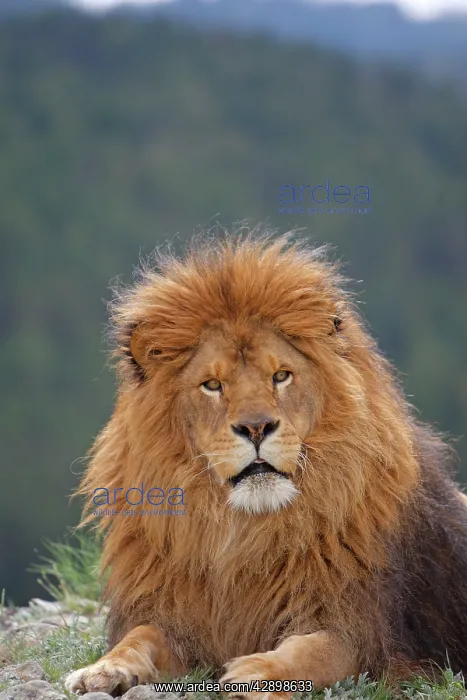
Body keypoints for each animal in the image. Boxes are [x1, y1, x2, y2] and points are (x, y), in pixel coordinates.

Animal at [66, 231, 467, 698]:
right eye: (212, 385)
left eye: (281, 376)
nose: (256, 427)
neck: (246, 531)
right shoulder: (178, 619)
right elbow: (139, 637)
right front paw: (103, 669)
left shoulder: (365, 632)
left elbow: (312, 651)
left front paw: (256, 673)